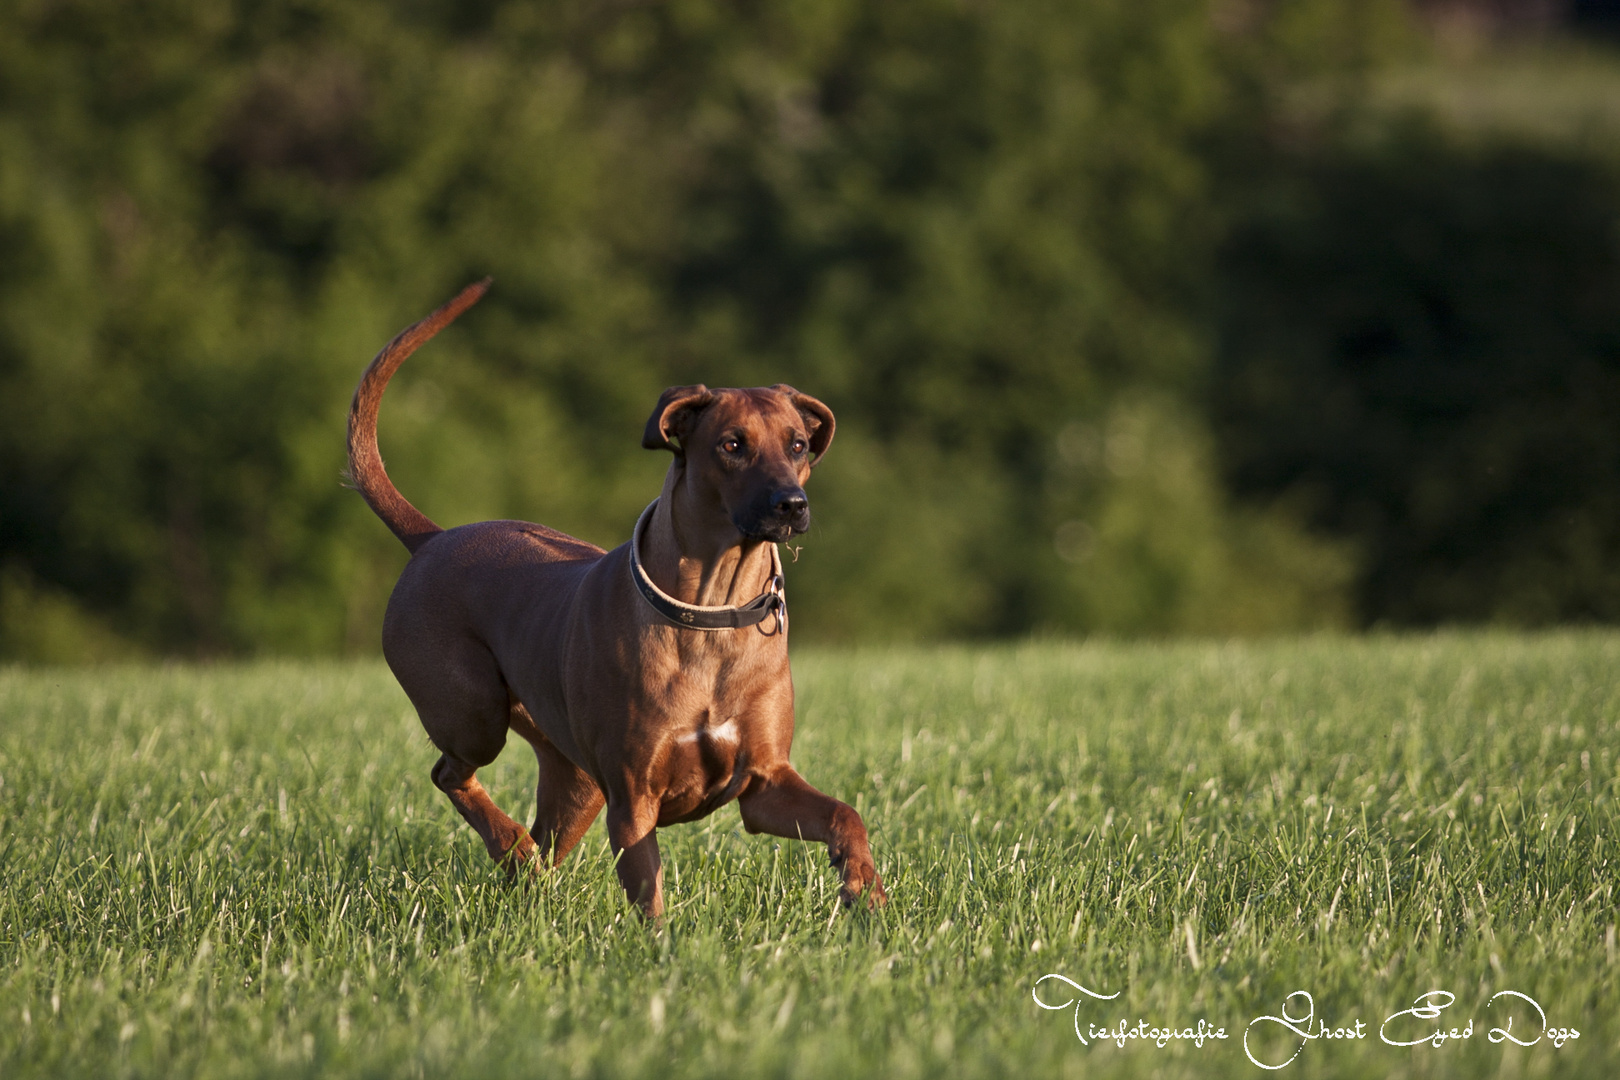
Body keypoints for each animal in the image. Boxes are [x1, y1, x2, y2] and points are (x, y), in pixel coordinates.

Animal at [348, 283, 894, 919]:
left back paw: (524, 877)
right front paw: (661, 943)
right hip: (472, 711)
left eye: (799, 445)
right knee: (450, 773)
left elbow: (845, 813)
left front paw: (865, 887)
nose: (792, 504)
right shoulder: (634, 799)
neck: (711, 614)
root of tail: (434, 538)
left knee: (538, 839)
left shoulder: (763, 783)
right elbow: (648, 891)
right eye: (732, 445)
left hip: (576, 780)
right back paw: (510, 843)